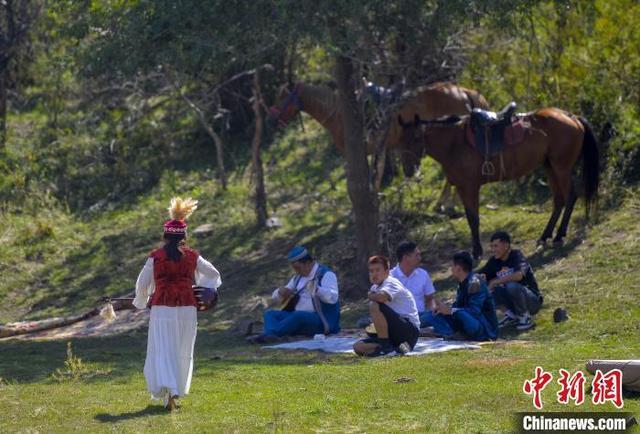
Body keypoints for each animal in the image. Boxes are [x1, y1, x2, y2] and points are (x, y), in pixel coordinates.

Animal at [400, 108, 600, 260]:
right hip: (550, 167)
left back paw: (559, 236)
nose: (408, 170)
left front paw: (477, 252)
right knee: (558, 200)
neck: (454, 143)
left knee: (570, 196)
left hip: (561, 167)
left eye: (417, 137)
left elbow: (473, 219)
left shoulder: (469, 187)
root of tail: (572, 117)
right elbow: (471, 218)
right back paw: (545, 237)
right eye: (402, 140)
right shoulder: (462, 187)